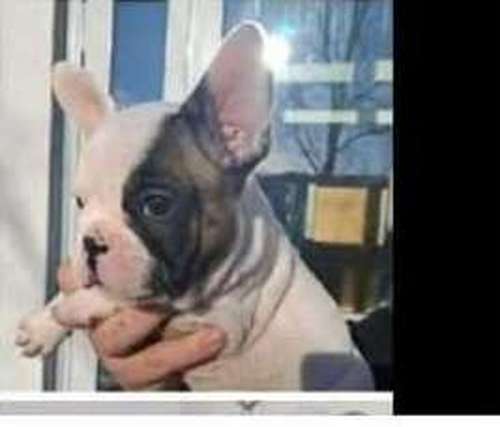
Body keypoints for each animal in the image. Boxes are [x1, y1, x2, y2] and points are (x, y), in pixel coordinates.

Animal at [15, 22, 373, 391]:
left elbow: (139, 297)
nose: (90, 242)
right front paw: (43, 323)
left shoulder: (218, 322)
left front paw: (75, 306)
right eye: (81, 202)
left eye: (157, 205)